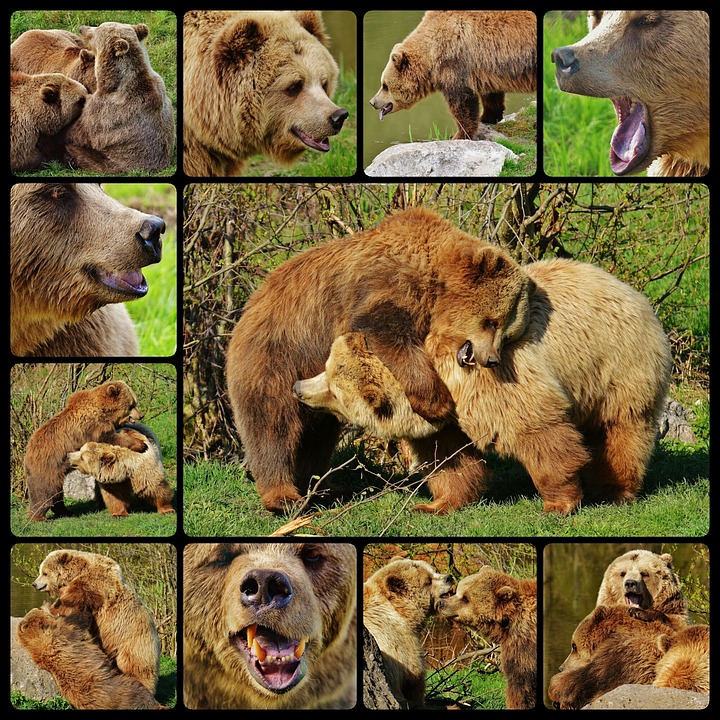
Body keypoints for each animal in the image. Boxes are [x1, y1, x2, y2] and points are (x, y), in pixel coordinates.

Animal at [22, 380, 143, 521]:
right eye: (131, 404)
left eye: (134, 402)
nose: (141, 415)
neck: (104, 411)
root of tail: (27, 451)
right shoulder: (93, 427)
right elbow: (111, 438)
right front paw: (140, 444)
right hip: (48, 466)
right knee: (45, 491)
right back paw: (38, 516)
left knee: (57, 493)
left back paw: (65, 511)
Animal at [32, 549, 161, 695]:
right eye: (41, 571)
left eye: (44, 573)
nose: (34, 584)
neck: (78, 571)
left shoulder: (97, 585)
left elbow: (77, 597)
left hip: (133, 644)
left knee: (135, 667)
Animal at [61, 22, 174, 173]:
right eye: (98, 25)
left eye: (96, 30)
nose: (82, 28)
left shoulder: (106, 112)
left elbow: (80, 131)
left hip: (107, 162)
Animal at [369, 11, 536, 139]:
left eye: (384, 85)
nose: (372, 102)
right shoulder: (485, 66)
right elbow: (491, 95)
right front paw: (487, 117)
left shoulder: (454, 61)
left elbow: (462, 103)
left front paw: (459, 135)